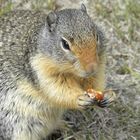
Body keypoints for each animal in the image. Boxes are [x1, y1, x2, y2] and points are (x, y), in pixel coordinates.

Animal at [0, 4, 108, 140]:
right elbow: (58, 90)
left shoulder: (99, 67)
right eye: (65, 44)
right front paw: (79, 99)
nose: (92, 68)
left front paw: (107, 96)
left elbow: (95, 82)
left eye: (96, 36)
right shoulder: (41, 71)